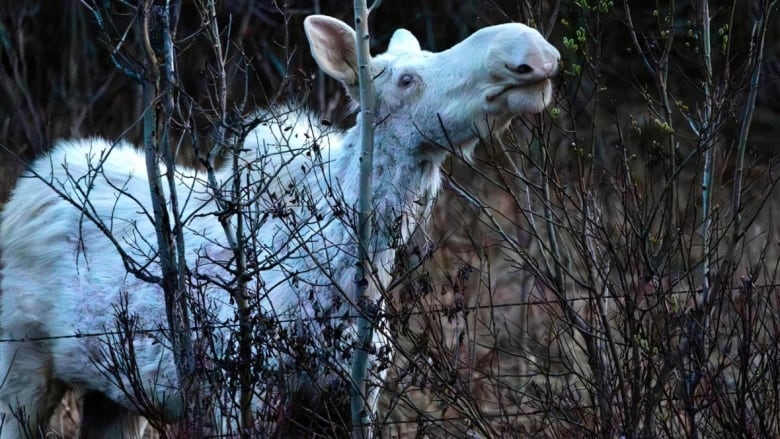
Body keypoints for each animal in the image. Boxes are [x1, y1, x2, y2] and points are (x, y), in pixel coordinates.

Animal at [1, 12, 560, 436]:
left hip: (114, 393)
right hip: (20, 370)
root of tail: (25, 187)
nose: (533, 54)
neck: (354, 274)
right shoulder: (240, 396)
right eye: (405, 79)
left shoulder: (352, 397)